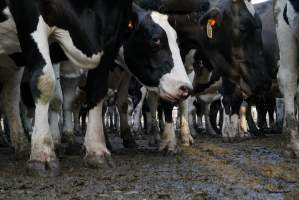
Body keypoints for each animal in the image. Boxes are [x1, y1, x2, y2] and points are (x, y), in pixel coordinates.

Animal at [0, 1, 192, 177]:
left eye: (177, 42)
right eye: (155, 41)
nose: (185, 88)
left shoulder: (109, 40)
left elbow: (99, 91)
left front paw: (97, 150)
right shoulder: (31, 17)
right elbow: (48, 86)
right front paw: (44, 152)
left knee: (10, 97)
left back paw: (22, 145)